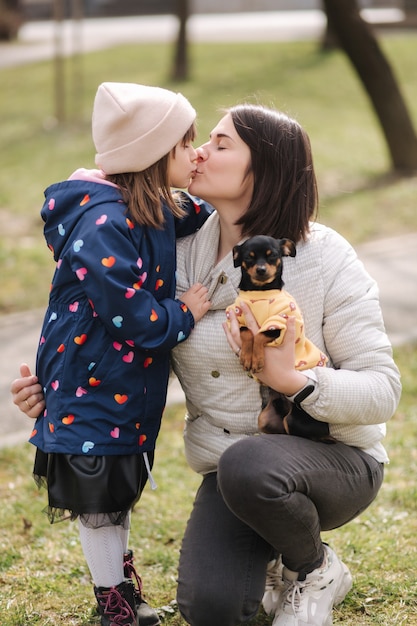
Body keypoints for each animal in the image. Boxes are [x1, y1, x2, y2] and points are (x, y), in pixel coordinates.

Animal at [226, 235, 334, 444]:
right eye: (249, 257)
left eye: (273, 255)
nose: (261, 269)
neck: (260, 292)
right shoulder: (236, 317)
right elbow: (247, 332)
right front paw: (247, 356)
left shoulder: (280, 322)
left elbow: (260, 334)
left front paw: (257, 359)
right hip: (265, 419)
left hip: (294, 420)